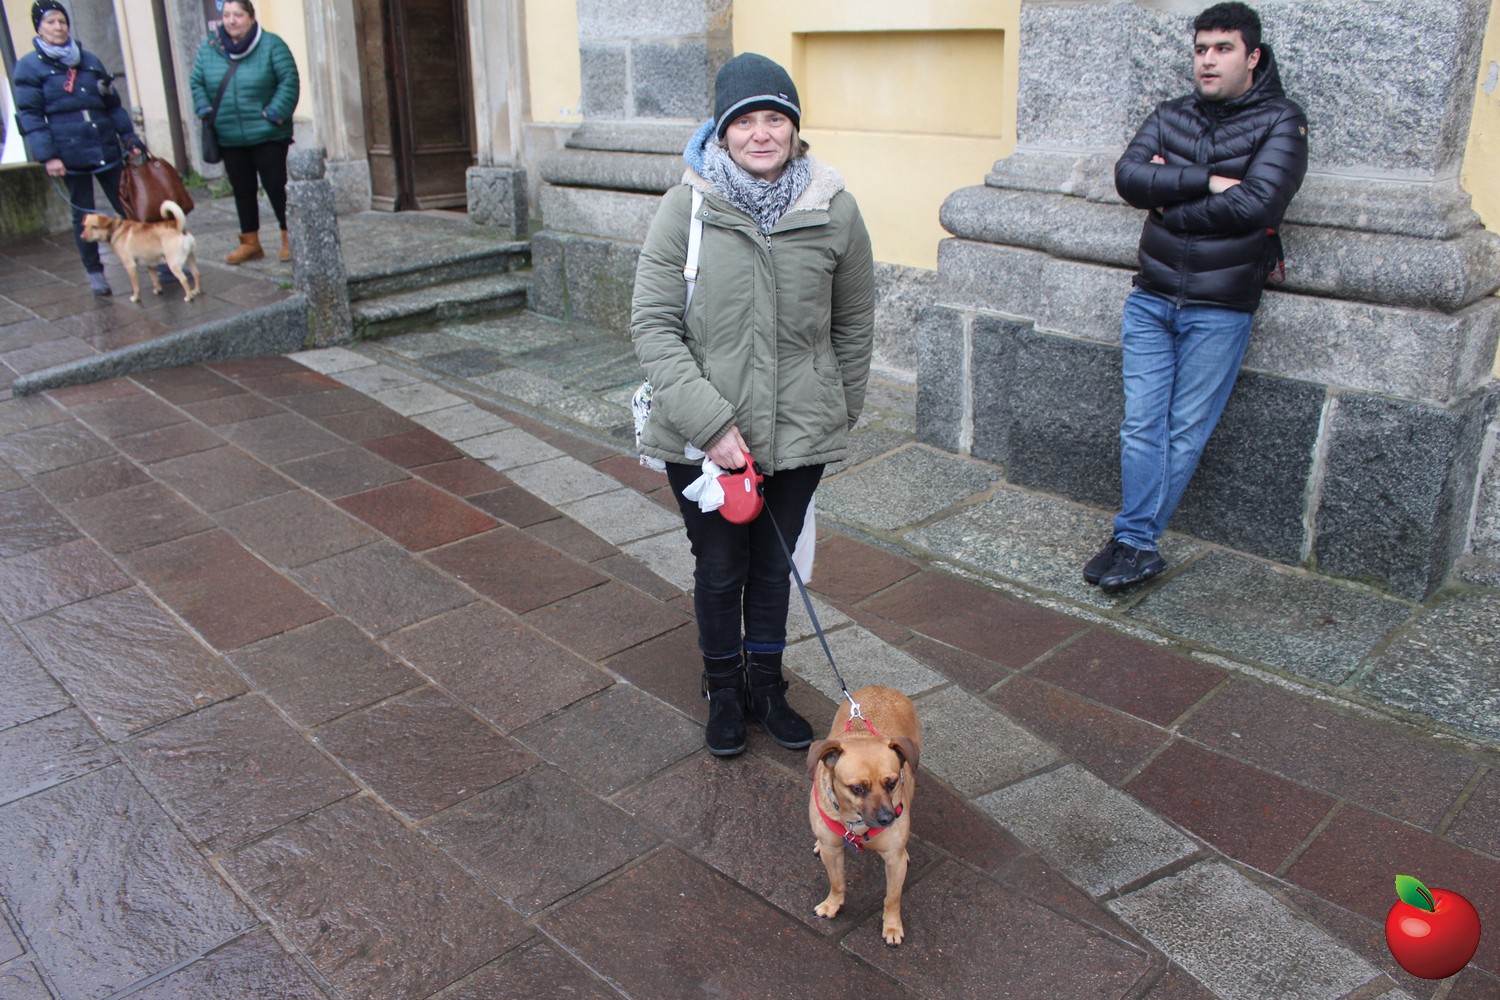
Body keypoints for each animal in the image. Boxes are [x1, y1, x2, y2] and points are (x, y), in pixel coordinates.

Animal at [806, 685, 921, 945]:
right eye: (857, 788)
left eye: (892, 783)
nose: (888, 819)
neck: (857, 824)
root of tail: (882, 688)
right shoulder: (833, 851)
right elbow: (837, 882)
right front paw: (832, 905)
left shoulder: (894, 861)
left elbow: (892, 898)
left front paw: (892, 926)